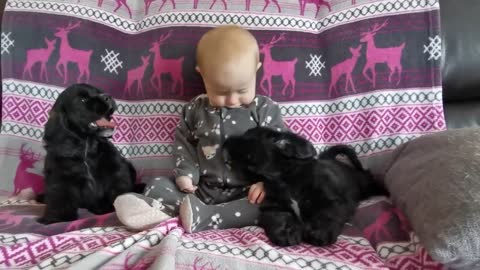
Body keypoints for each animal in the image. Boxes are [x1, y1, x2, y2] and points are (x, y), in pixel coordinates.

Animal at [37, 84, 144, 224]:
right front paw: (56, 218)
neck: (88, 146)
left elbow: (118, 189)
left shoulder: (116, 169)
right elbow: (60, 197)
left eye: (99, 92)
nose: (107, 96)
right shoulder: (61, 177)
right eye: (83, 99)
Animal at [224, 126, 386, 247]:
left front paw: (319, 231)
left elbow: (327, 213)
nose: (226, 141)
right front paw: (286, 232)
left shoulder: (331, 199)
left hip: (364, 182)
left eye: (246, 140)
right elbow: (278, 217)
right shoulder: (274, 206)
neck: (283, 178)